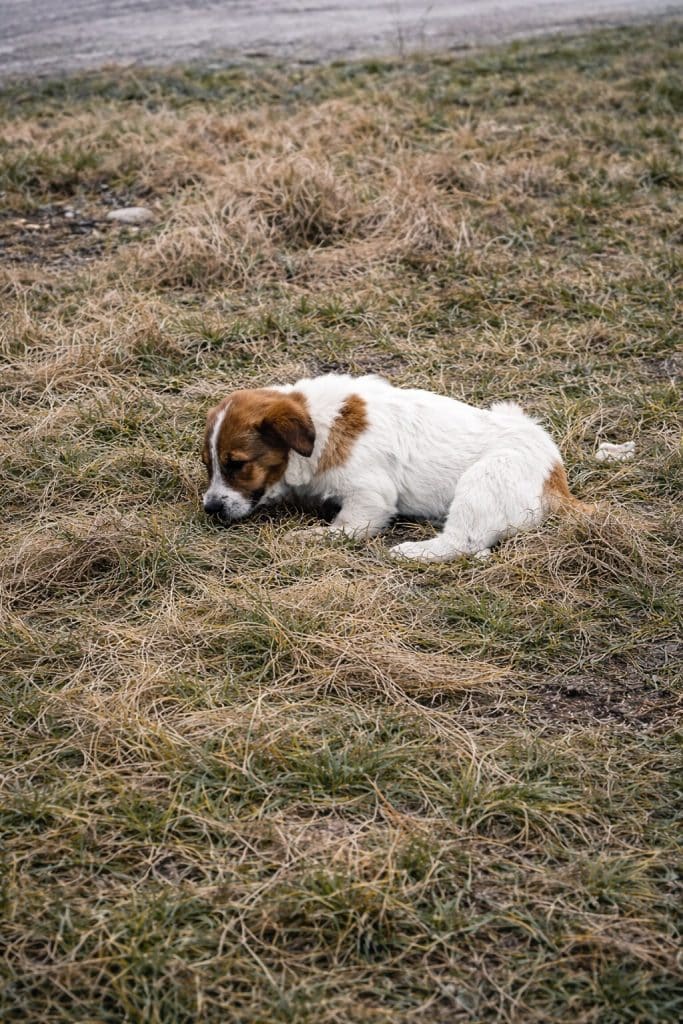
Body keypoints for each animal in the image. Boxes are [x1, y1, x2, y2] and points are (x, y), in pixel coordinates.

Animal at [201, 373, 587, 562]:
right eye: (209, 465)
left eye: (237, 465)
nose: (211, 509)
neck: (319, 427)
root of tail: (556, 481)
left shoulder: (370, 498)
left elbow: (348, 527)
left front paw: (310, 537)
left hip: (483, 480)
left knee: (463, 541)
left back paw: (412, 551)